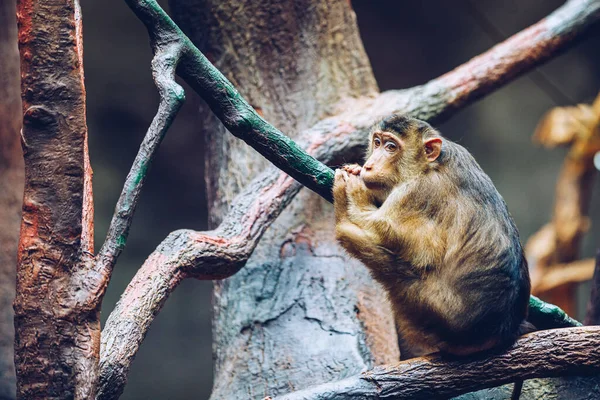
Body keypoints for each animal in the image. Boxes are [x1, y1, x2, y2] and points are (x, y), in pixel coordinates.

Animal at [332, 115, 528, 360]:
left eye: (391, 147)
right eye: (377, 143)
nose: (369, 165)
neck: (429, 165)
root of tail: (501, 331)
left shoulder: (415, 192)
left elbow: (395, 237)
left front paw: (353, 189)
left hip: (433, 307)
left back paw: (342, 219)